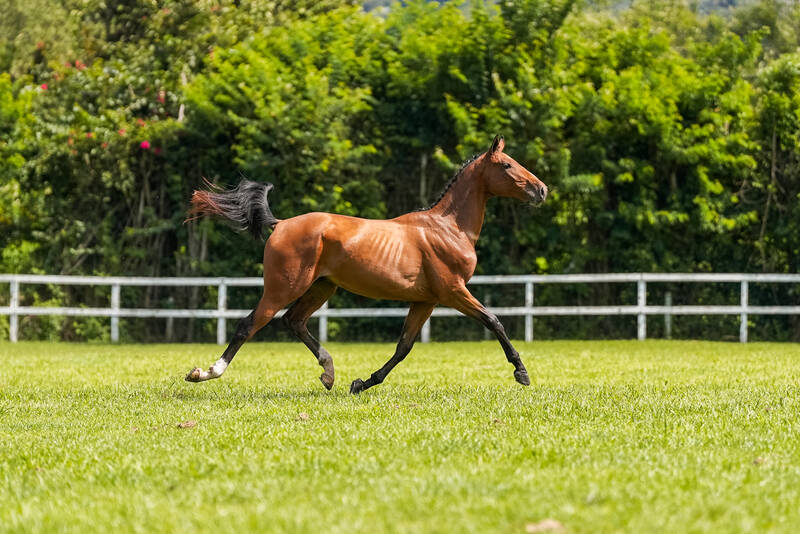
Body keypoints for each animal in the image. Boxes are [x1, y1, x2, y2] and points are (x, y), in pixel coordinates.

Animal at [184, 134, 548, 394]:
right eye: (508, 165)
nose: (542, 190)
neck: (448, 228)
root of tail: (281, 223)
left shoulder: (425, 300)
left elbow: (403, 347)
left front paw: (362, 383)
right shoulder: (453, 291)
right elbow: (494, 321)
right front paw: (522, 373)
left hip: (322, 287)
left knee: (294, 321)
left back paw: (329, 374)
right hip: (283, 287)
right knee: (250, 324)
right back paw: (204, 372)